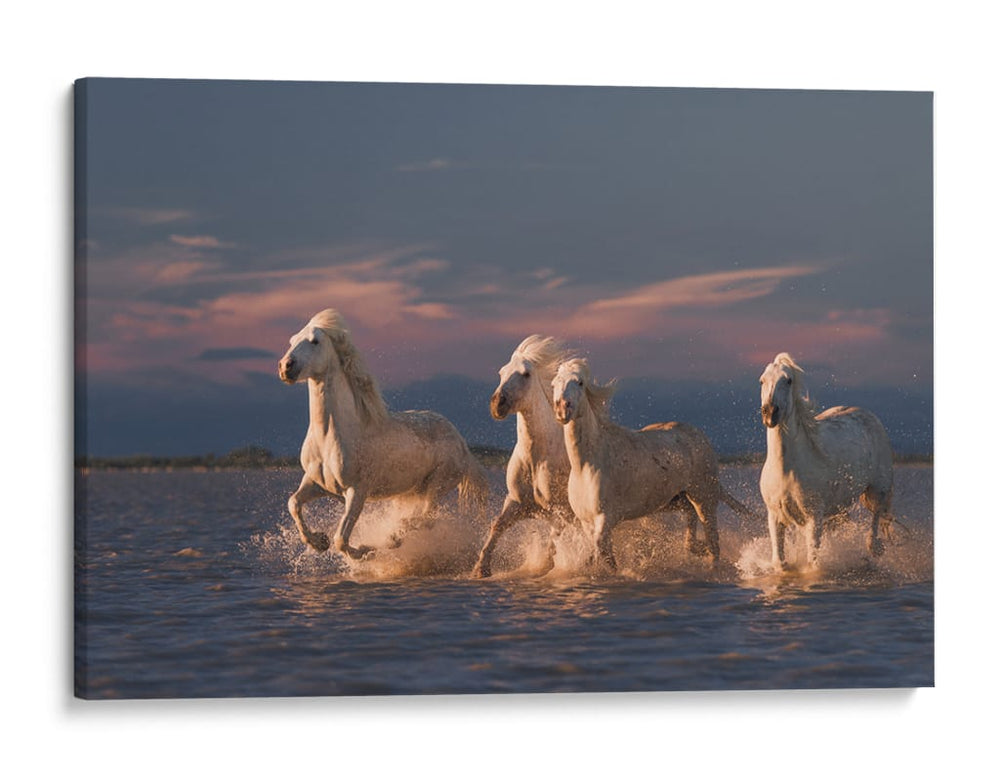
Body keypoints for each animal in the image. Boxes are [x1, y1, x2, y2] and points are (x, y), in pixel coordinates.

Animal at [278, 308, 490, 559]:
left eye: (315, 341)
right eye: (292, 340)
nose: (286, 367)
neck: (330, 437)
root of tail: (462, 442)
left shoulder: (357, 491)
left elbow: (341, 539)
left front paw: (364, 550)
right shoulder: (316, 483)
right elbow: (293, 503)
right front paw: (318, 541)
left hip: (437, 485)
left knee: (428, 518)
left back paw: (394, 537)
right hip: (413, 491)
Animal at [471, 335, 576, 578]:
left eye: (526, 374)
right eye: (501, 372)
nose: (497, 403)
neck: (536, 459)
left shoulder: (561, 510)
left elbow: (555, 539)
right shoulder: (517, 502)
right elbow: (497, 525)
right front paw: (481, 569)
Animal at [551, 357, 747, 571]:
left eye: (579, 382)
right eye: (554, 384)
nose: (562, 408)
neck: (586, 465)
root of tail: (700, 436)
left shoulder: (606, 518)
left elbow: (601, 550)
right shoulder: (587, 522)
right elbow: (603, 554)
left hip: (704, 499)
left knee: (714, 542)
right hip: (675, 500)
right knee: (691, 519)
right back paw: (696, 548)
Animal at [758, 352, 895, 572]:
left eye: (788, 380)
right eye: (762, 380)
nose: (770, 413)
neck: (787, 469)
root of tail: (868, 414)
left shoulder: (814, 517)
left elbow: (813, 562)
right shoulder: (775, 516)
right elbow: (779, 562)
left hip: (878, 488)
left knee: (876, 514)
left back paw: (874, 547)